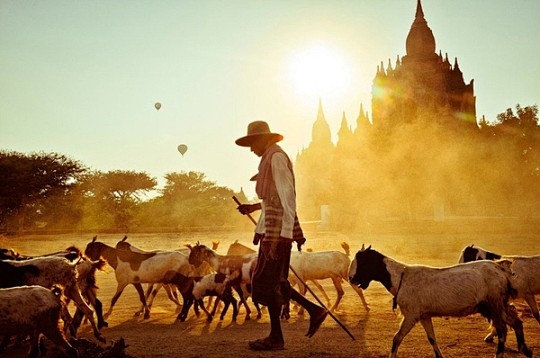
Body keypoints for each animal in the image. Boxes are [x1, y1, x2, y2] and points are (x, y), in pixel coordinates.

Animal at [350, 245, 532, 356]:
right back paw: (525, 350)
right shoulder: (424, 315)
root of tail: (500, 267)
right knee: (516, 322)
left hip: (494, 305)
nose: (351, 278)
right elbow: (432, 338)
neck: (401, 277)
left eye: (363, 261)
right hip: (496, 305)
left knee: (502, 330)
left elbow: (397, 338)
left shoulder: (411, 315)